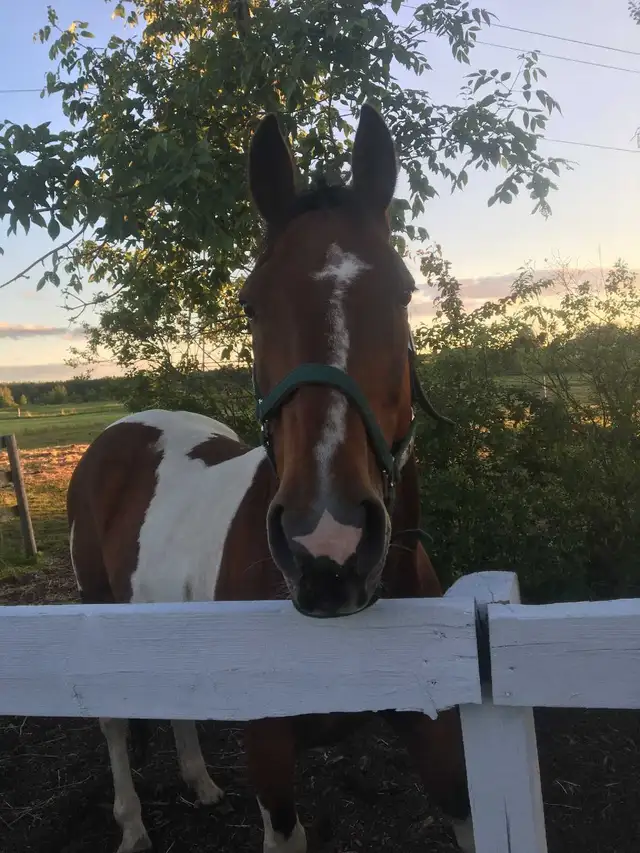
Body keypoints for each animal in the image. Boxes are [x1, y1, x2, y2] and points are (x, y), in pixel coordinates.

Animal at [67, 104, 475, 853]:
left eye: (403, 292)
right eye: (252, 303)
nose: (328, 547)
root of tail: (119, 431)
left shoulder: (442, 742)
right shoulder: (270, 755)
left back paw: (199, 781)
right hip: (97, 606)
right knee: (111, 724)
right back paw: (132, 824)